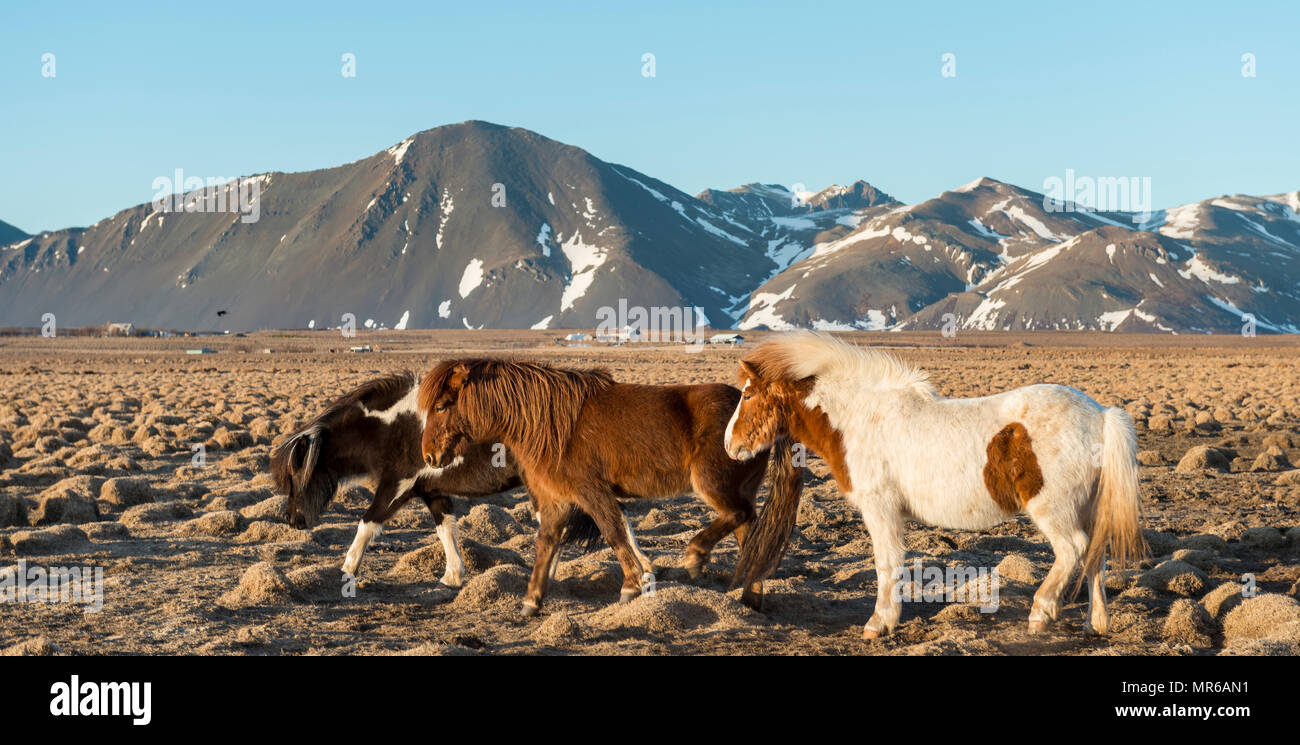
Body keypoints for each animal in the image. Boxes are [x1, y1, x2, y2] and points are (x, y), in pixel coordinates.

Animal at [270, 371, 525, 587]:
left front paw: (347, 571)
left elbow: (367, 524)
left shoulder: (396, 486)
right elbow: (446, 529)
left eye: (294, 477)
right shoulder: (432, 491)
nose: (291, 519)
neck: (393, 428)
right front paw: (452, 577)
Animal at [417, 358, 804, 616]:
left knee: (740, 516)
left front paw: (632, 586)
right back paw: (750, 600)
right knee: (749, 534)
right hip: (736, 489)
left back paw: (696, 557)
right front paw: (531, 602)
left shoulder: (591, 491)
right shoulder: (556, 501)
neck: (547, 423)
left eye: (442, 405)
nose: (429, 455)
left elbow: (614, 532)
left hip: (713, 485)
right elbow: (545, 544)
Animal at [724, 331, 1146, 638]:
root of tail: (1101, 414)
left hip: (1053, 509)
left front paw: (879, 623)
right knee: (1095, 555)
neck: (860, 416)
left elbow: (887, 562)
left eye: (748, 393)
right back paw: (1096, 624)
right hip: (1088, 508)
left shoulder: (880, 509)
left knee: (1073, 549)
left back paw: (1042, 612)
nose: (731, 446)